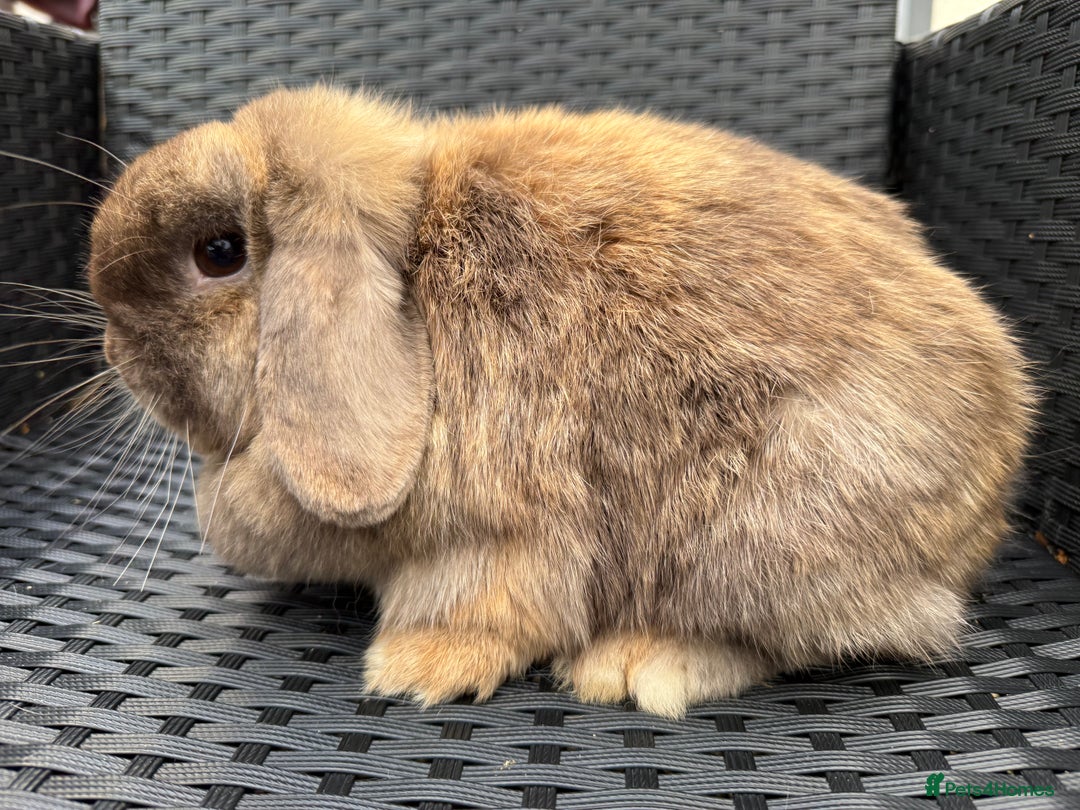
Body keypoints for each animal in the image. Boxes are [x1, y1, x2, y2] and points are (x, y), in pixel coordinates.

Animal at [87, 85, 1033, 718]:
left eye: (220, 251)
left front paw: (413, 672)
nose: (111, 349)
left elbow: (488, 606)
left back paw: (637, 669)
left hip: (761, 534)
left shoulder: (502, 536)